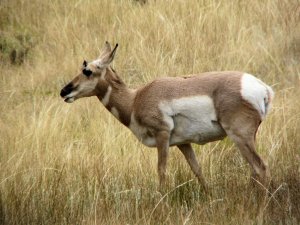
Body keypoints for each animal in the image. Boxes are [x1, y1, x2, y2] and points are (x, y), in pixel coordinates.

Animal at [60, 41, 274, 189]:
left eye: (87, 71)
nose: (63, 92)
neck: (135, 99)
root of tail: (262, 87)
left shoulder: (162, 136)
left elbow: (161, 171)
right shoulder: (183, 143)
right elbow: (198, 170)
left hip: (239, 136)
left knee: (260, 167)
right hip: (248, 138)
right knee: (255, 171)